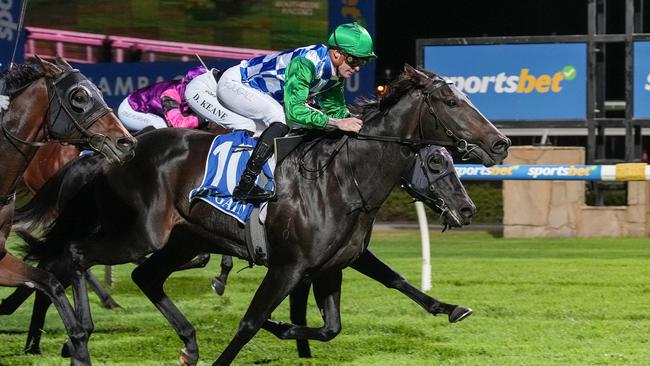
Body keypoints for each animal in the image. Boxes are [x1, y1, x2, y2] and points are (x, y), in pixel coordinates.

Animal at [11, 64, 506, 364]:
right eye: (452, 104)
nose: (500, 143)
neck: (343, 179)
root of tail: (118, 151)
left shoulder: (332, 266)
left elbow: (342, 319)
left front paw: (449, 307)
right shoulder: (288, 266)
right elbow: (250, 322)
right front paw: (267, 326)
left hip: (185, 239)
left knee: (141, 275)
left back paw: (183, 343)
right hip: (140, 233)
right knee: (75, 255)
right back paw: (77, 335)